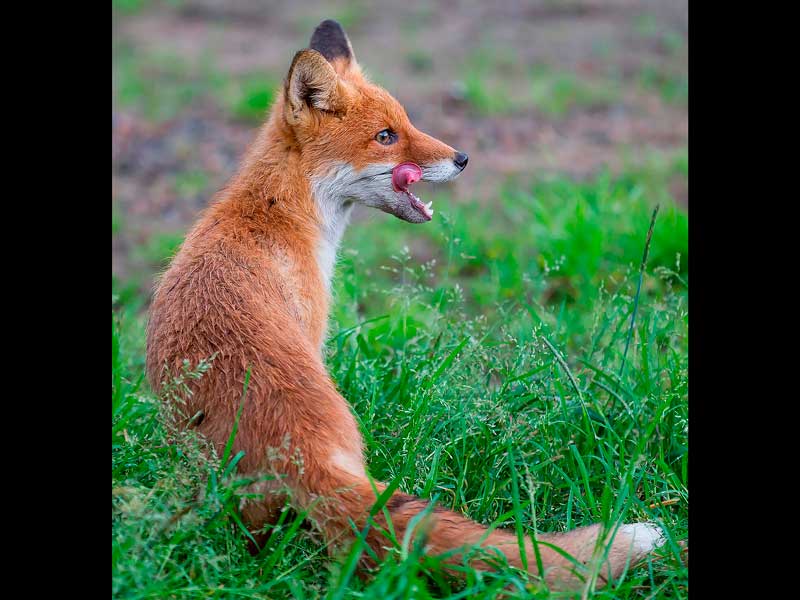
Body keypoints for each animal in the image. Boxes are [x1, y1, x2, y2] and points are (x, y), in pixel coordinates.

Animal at [145, 17, 668, 592]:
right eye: (385, 137)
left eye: (406, 122)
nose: (462, 158)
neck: (274, 215)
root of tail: (299, 446)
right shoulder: (313, 326)